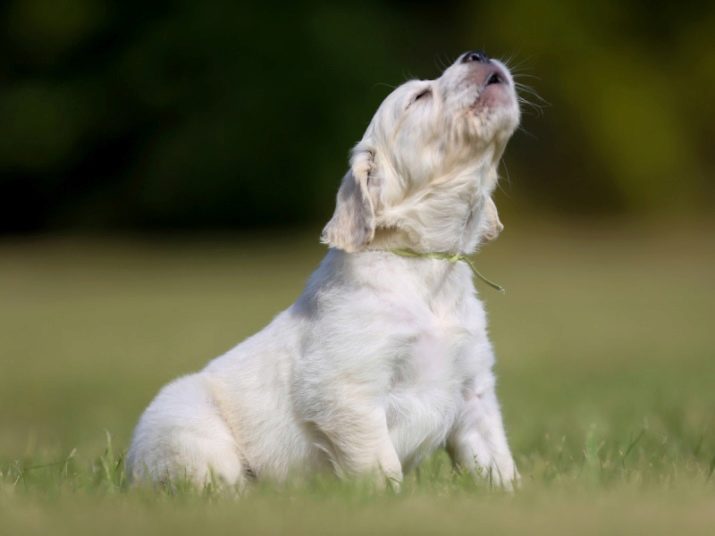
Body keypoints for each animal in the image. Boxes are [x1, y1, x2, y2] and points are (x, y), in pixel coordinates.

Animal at [127, 50, 520, 490]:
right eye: (418, 97)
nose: (477, 55)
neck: (424, 264)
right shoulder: (349, 392)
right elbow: (380, 466)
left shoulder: (474, 391)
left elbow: (495, 459)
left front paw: (511, 493)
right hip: (188, 430)